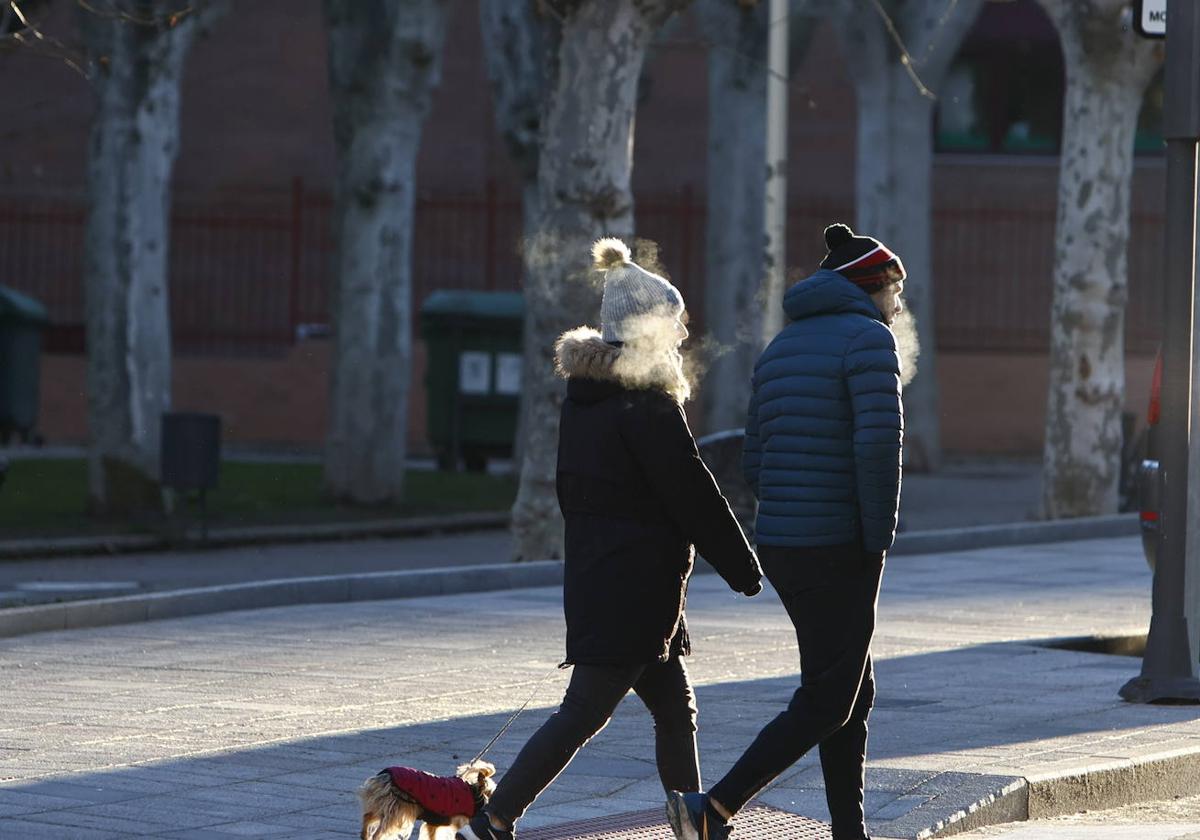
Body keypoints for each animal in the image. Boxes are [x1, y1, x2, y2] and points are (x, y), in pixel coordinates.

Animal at [355, 763, 496, 840]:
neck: (474, 793)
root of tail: (383, 776)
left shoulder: (433, 822)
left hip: (382, 805)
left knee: (368, 816)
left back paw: (364, 835)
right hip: (396, 810)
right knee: (378, 833)